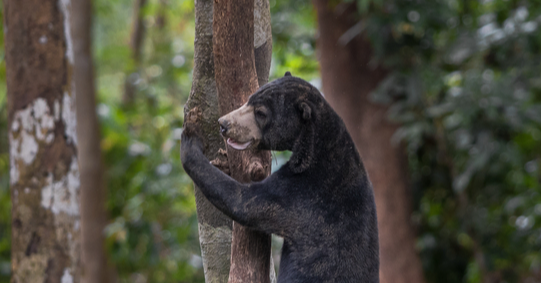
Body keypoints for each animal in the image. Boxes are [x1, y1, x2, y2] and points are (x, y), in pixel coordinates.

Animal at [179, 72, 378, 282]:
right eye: (249, 99)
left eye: (261, 113)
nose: (223, 124)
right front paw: (223, 161)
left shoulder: (303, 191)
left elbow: (243, 202)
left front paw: (190, 137)